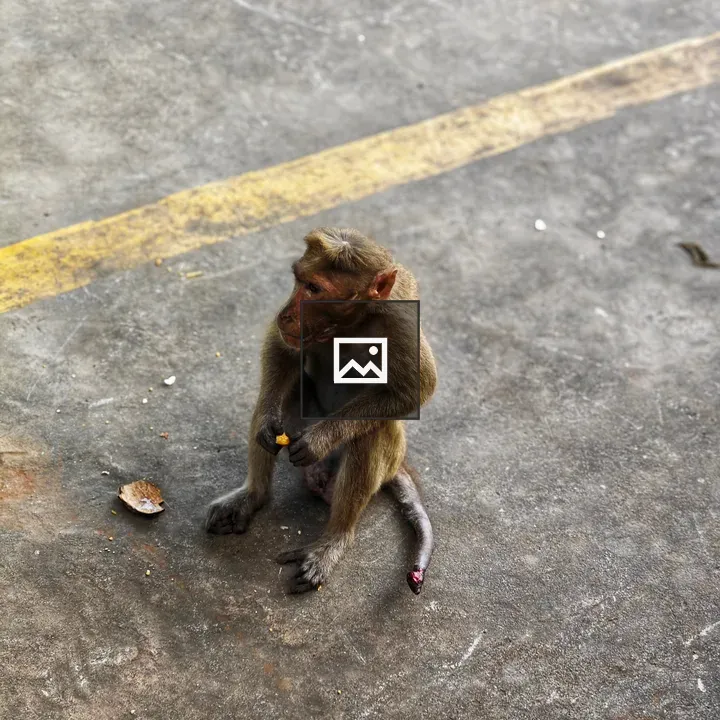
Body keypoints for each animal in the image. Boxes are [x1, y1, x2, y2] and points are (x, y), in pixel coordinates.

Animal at [205, 228, 438, 594]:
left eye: (314, 289)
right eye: (299, 281)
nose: (287, 314)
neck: (352, 323)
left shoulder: (400, 320)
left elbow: (419, 387)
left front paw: (320, 439)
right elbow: (281, 346)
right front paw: (267, 421)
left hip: (385, 457)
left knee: (372, 431)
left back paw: (334, 539)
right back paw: (253, 495)